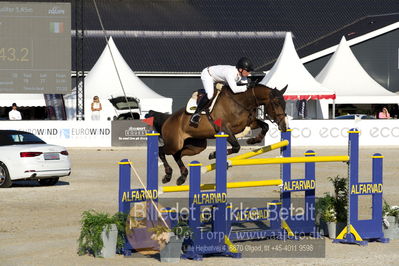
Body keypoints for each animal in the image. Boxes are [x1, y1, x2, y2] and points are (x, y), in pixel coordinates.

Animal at [148, 84, 290, 186]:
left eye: (285, 104)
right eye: (276, 103)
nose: (284, 126)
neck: (242, 101)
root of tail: (168, 119)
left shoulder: (249, 123)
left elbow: (265, 126)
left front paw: (253, 141)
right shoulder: (225, 129)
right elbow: (236, 147)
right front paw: (213, 154)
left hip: (196, 146)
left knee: (177, 155)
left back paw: (182, 176)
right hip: (174, 143)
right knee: (162, 151)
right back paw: (168, 175)